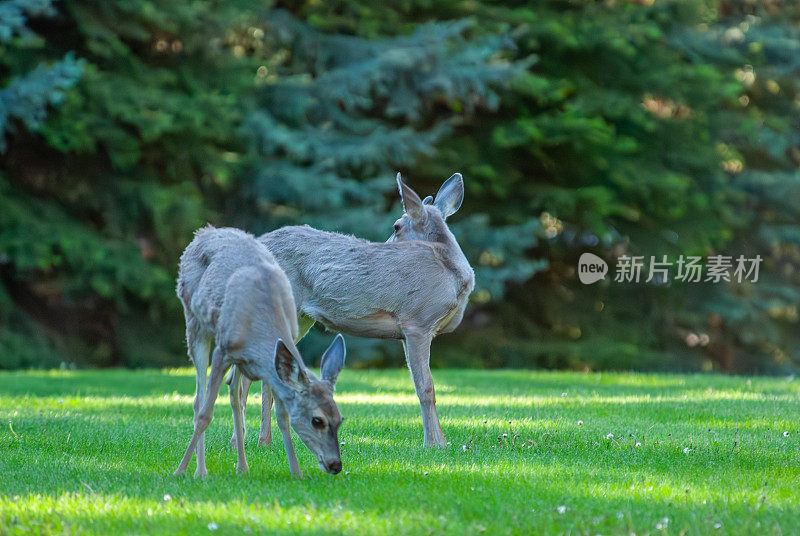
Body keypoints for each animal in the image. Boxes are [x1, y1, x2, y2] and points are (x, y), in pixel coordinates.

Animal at [234, 174, 472, 446]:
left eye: (395, 227)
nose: (384, 244)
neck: (452, 276)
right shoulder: (416, 322)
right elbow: (426, 387)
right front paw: (433, 444)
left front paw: (441, 442)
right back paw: (250, 441)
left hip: (300, 317)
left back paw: (261, 440)